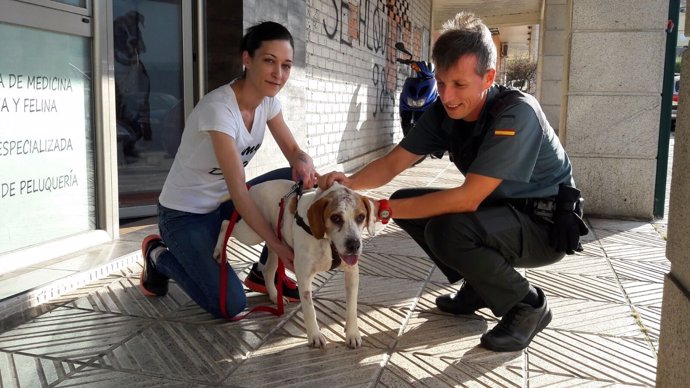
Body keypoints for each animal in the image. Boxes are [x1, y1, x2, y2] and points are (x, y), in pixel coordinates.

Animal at [215, 180, 376, 348]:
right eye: (336, 218)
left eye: (361, 217)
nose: (354, 245)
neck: (327, 240)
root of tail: (253, 187)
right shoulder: (304, 276)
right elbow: (309, 309)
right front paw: (314, 335)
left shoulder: (352, 273)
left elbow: (352, 307)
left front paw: (352, 333)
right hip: (250, 233)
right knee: (226, 224)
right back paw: (219, 251)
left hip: (273, 244)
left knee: (267, 271)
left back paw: (274, 296)